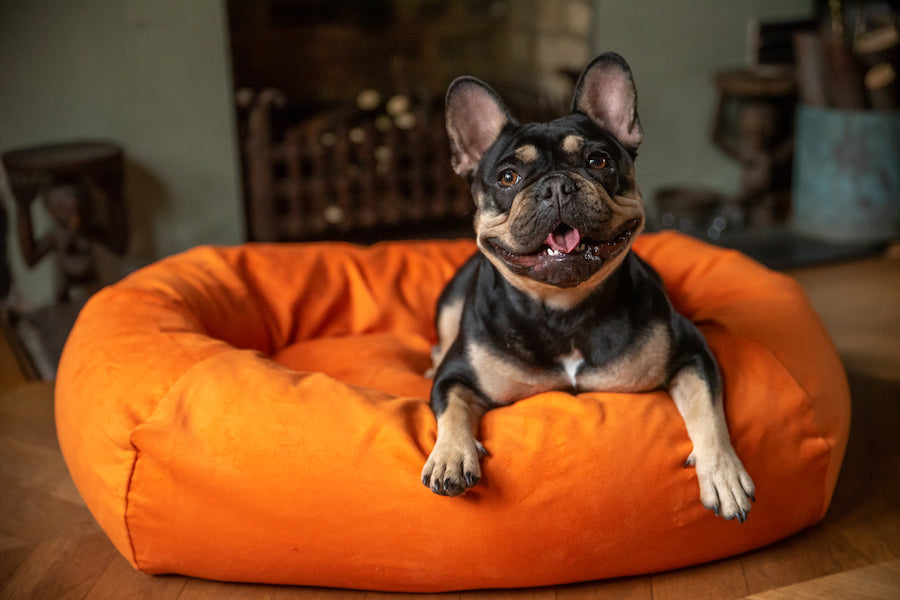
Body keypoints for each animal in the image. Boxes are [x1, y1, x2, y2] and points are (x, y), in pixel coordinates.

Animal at [424, 52, 760, 520]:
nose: (555, 185)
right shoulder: (456, 375)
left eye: (598, 162)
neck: (564, 309)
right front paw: (451, 457)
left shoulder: (692, 354)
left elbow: (708, 411)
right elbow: (451, 406)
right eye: (508, 177)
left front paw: (724, 473)